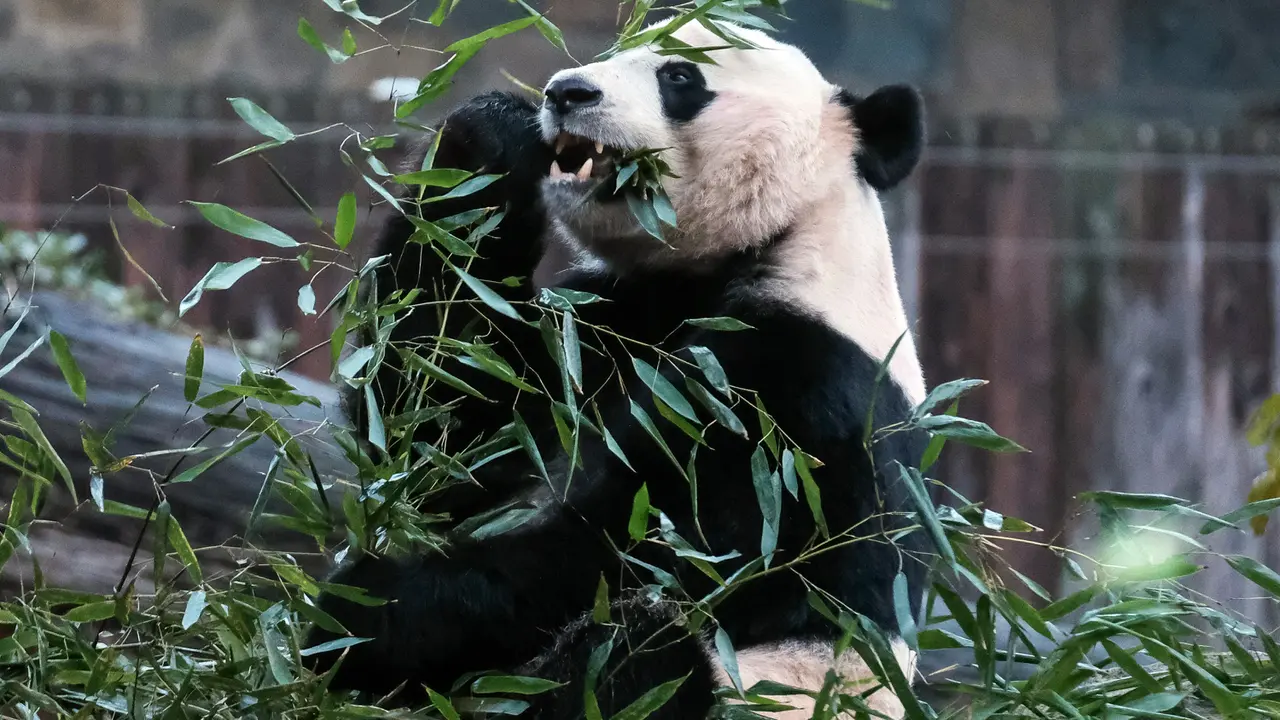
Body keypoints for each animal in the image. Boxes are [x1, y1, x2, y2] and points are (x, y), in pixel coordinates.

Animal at [311, 18, 931, 720]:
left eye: (679, 75)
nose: (566, 92)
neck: (774, 242)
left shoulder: (797, 397)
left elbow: (651, 552)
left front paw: (361, 612)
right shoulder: (612, 321)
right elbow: (450, 413)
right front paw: (495, 133)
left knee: (646, 651)